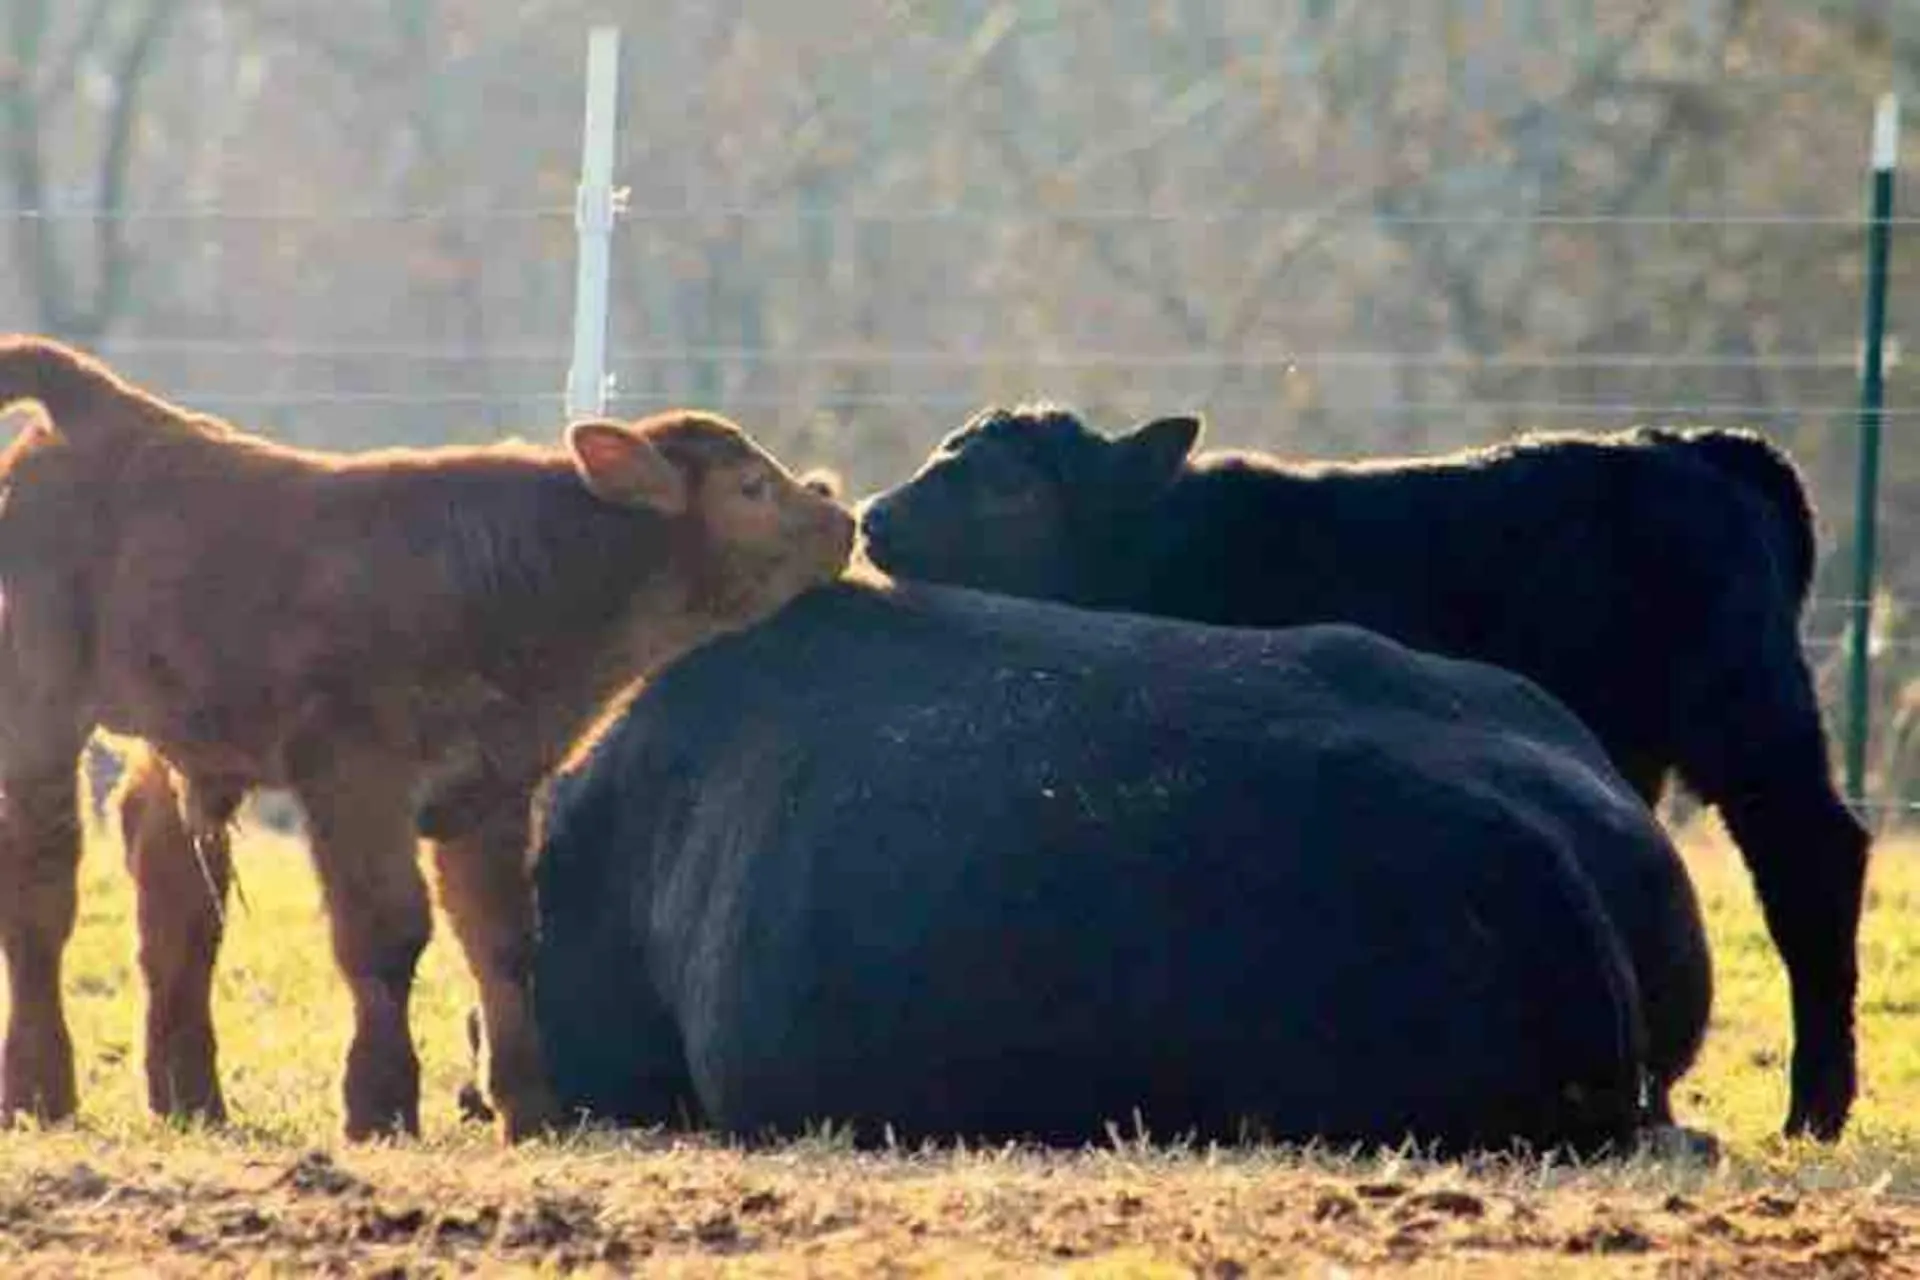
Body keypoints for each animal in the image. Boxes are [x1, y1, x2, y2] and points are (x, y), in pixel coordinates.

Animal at [0, 335, 854, 1142]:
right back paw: (42, 1093)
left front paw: (530, 1110)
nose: (841, 519)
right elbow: (386, 932)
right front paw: (378, 1106)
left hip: (183, 741)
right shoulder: (354, 777)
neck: (522, 574)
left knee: (172, 898)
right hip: (38, 711)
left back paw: (191, 1102)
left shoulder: (492, 788)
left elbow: (502, 940)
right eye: (751, 487)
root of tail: (105, 409)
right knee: (42, 890)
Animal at [858, 404, 1866, 1142]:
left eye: (1005, 489)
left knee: (1814, 855)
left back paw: (1814, 1109)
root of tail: (1696, 446)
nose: (872, 517)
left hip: (1744, 710)